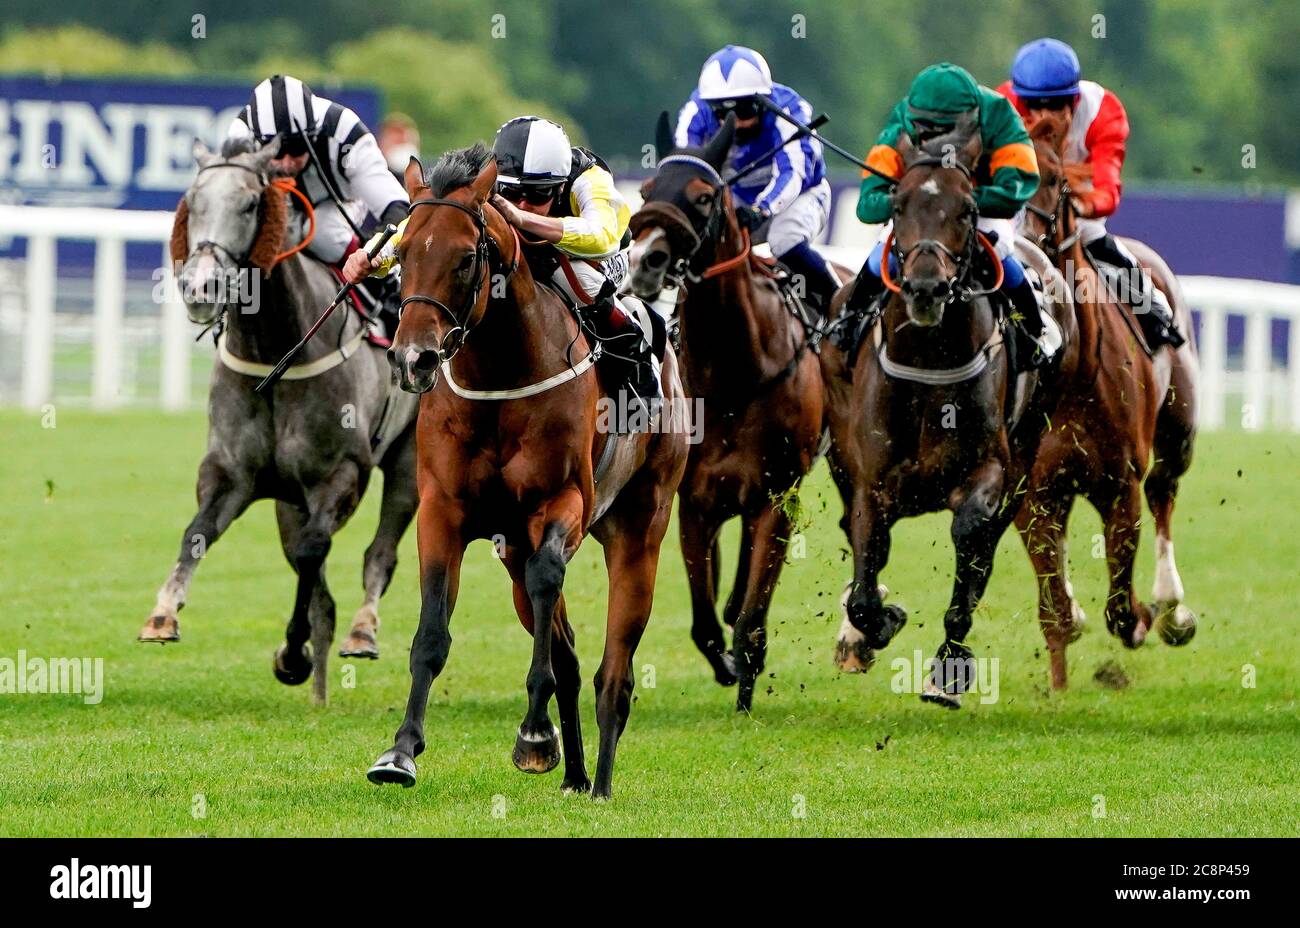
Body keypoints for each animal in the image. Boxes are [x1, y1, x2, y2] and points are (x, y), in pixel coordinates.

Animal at [135, 135, 416, 701]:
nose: (200, 288)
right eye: (192, 201)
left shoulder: (340, 474)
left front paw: (293, 651)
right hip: (289, 498)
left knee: (381, 551)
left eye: (248, 204)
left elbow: (312, 554)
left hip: (409, 457)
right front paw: (163, 613)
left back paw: (362, 631)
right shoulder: (232, 472)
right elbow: (198, 532)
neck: (278, 354)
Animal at [366, 144, 691, 795]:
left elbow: (549, 582)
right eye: (403, 252)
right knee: (566, 650)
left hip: (639, 530)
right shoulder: (443, 510)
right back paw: (575, 774)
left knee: (614, 670)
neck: (500, 377)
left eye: (466, 258)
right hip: (511, 547)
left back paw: (599, 782)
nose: (413, 358)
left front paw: (535, 734)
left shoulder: (560, 503)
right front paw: (401, 751)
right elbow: (432, 634)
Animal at [631, 115, 832, 707]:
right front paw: (724, 663)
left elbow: (751, 618)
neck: (735, 372)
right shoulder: (694, 500)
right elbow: (704, 621)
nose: (646, 260)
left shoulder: (779, 496)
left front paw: (745, 676)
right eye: (646, 190)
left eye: (702, 196)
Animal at [821, 120, 1076, 701]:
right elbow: (867, 565)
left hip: (1027, 456)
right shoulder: (871, 478)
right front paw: (875, 623)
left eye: (966, 209)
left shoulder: (991, 468)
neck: (928, 357)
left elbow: (971, 536)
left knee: (986, 541)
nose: (925, 287)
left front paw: (949, 661)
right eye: (897, 204)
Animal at [1013, 110, 1196, 686]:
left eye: (1053, 179)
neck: (1072, 371)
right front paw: (1057, 685)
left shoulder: (1120, 486)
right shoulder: (1034, 489)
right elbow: (1052, 606)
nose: (1021, 246)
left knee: (1165, 488)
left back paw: (1172, 608)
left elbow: (1120, 605)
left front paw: (1144, 615)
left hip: (1179, 428)